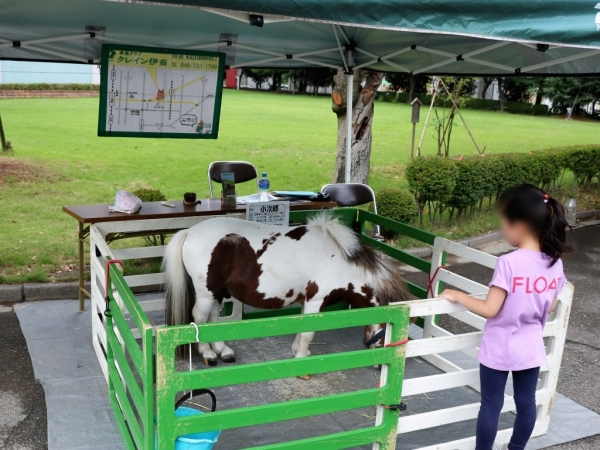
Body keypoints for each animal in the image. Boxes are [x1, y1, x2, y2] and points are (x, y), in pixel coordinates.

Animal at [162, 212, 410, 366]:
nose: (382, 365)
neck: (339, 262)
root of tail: (189, 232)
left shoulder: (308, 301)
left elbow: (302, 328)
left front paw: (299, 351)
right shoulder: (315, 301)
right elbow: (309, 332)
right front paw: (301, 359)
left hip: (218, 292)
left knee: (213, 318)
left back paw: (223, 350)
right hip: (206, 293)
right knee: (199, 318)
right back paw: (208, 353)